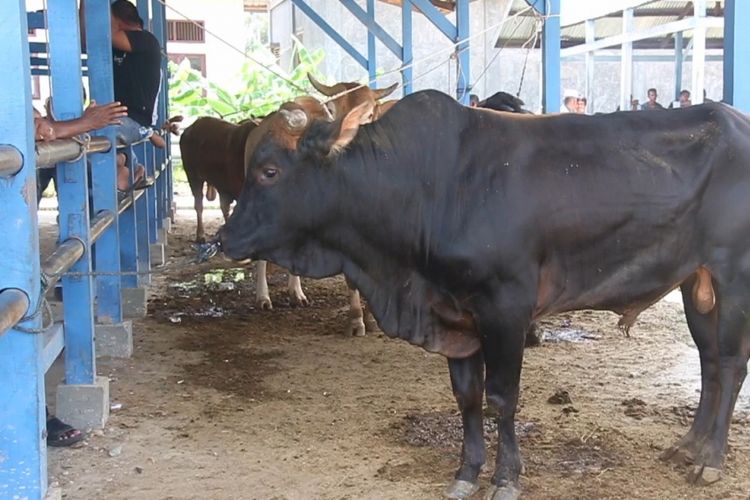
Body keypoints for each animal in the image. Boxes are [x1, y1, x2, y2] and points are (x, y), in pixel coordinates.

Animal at [222, 90, 750, 496]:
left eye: (269, 171)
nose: (224, 238)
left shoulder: (506, 308)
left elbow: (501, 397)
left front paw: (506, 478)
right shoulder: (455, 315)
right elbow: (467, 397)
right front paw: (466, 472)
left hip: (733, 275)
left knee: (728, 363)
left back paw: (711, 459)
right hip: (696, 282)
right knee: (707, 361)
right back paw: (688, 445)